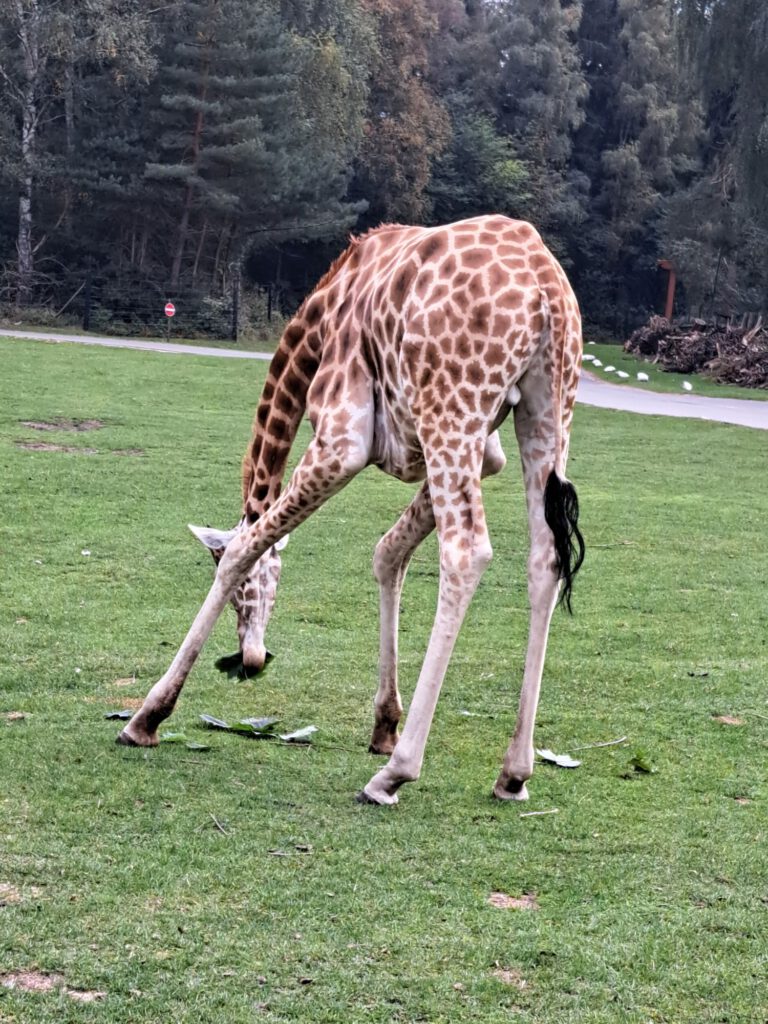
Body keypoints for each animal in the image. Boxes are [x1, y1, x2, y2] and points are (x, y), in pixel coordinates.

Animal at [117, 214, 585, 805]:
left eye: (247, 595)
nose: (251, 660)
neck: (319, 321)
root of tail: (547, 291)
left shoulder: (343, 440)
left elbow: (246, 545)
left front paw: (147, 717)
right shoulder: (489, 454)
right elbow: (387, 553)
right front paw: (384, 723)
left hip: (452, 409)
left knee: (466, 552)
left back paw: (396, 774)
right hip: (548, 410)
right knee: (545, 560)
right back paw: (513, 773)